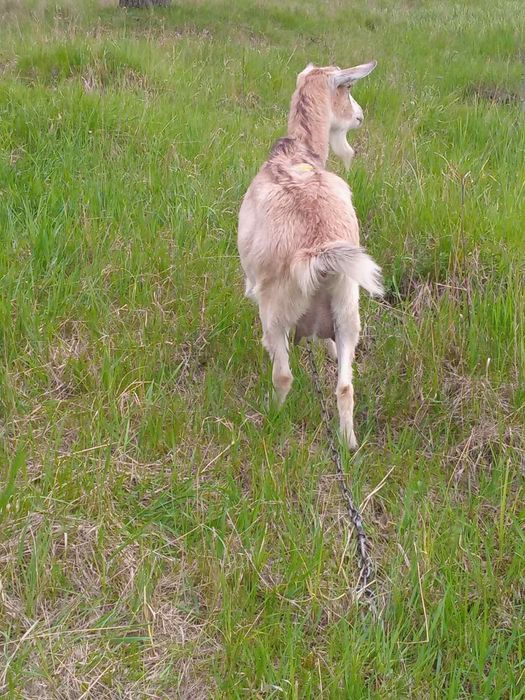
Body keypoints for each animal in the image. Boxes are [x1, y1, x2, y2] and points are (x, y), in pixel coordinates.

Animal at [237, 62, 383, 449]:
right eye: (348, 90)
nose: (360, 117)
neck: (297, 152)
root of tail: (318, 254)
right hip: (348, 311)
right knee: (345, 387)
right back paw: (349, 443)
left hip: (276, 311)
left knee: (283, 375)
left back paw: (271, 418)